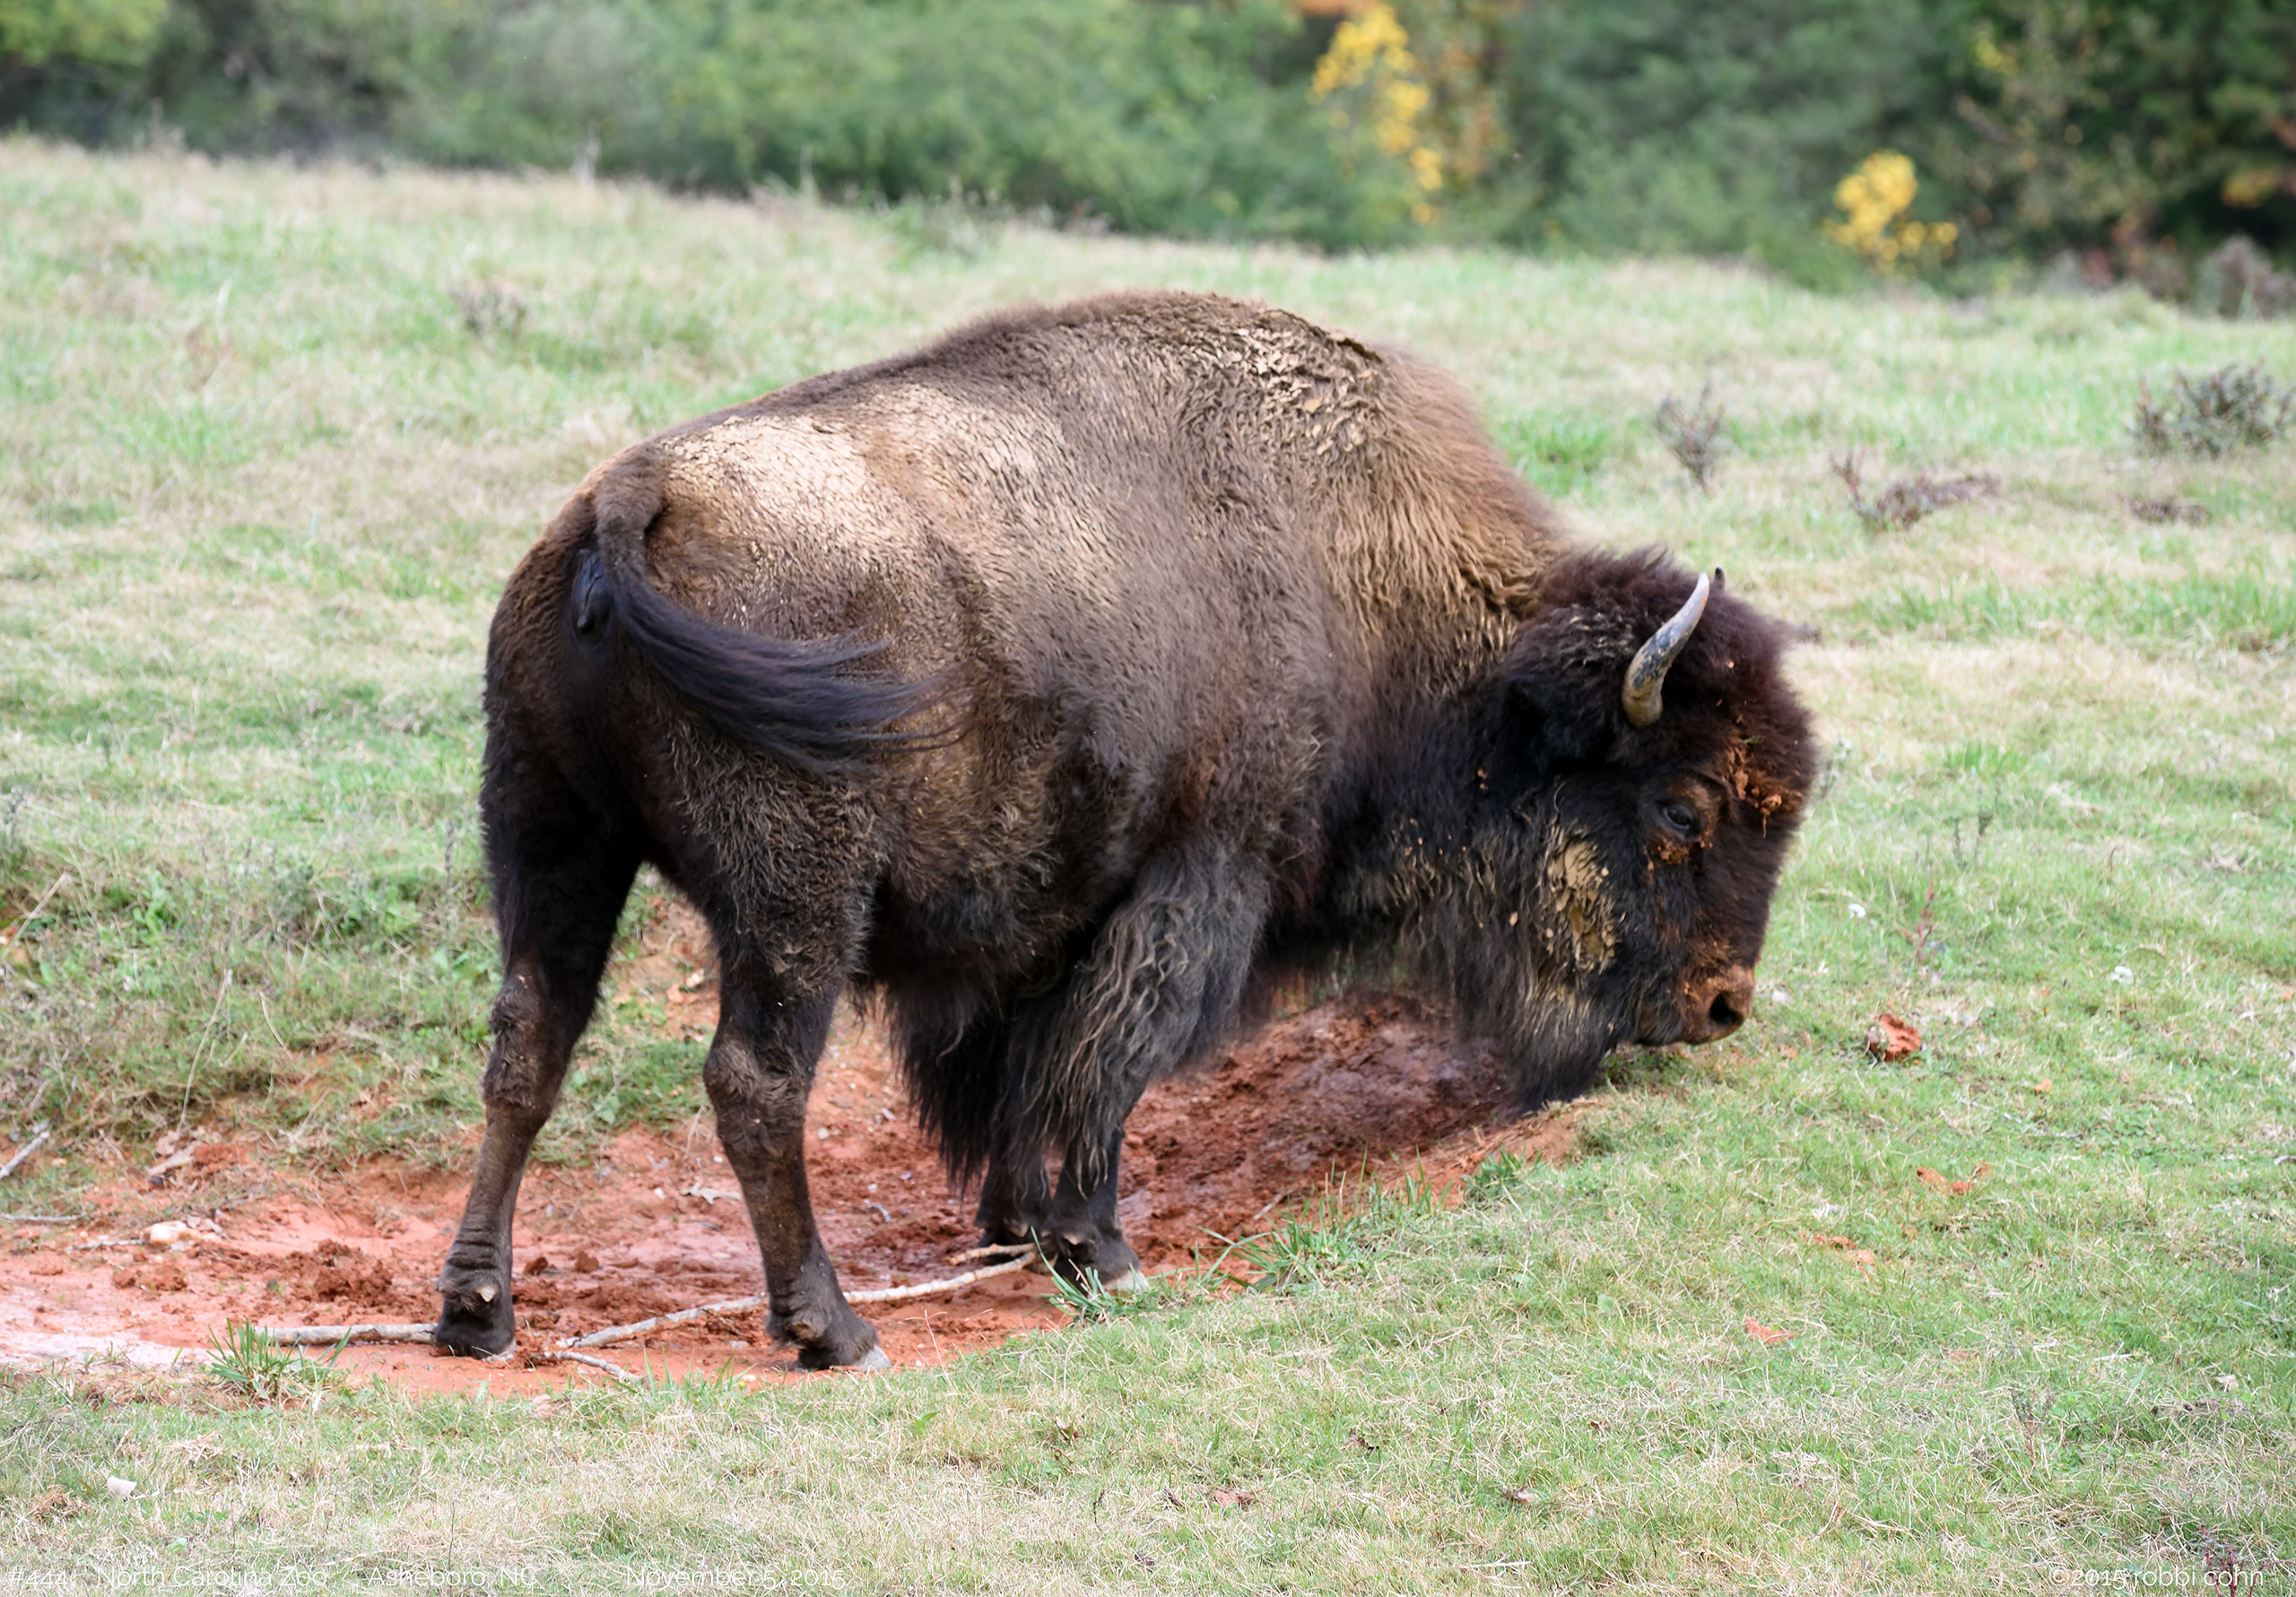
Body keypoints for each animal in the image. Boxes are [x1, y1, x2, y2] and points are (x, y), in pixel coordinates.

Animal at [434, 291, 1814, 1370]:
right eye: (1683, 805)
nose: (1721, 1005)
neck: (1370, 590)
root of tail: (633, 498)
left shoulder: (1059, 904)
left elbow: (1032, 1067)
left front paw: (1014, 1222)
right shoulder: (1200, 877)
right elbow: (1111, 1059)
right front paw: (1100, 1247)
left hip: (550, 838)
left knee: (527, 1046)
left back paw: (478, 1312)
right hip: (795, 901)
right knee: (755, 1082)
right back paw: (832, 1327)